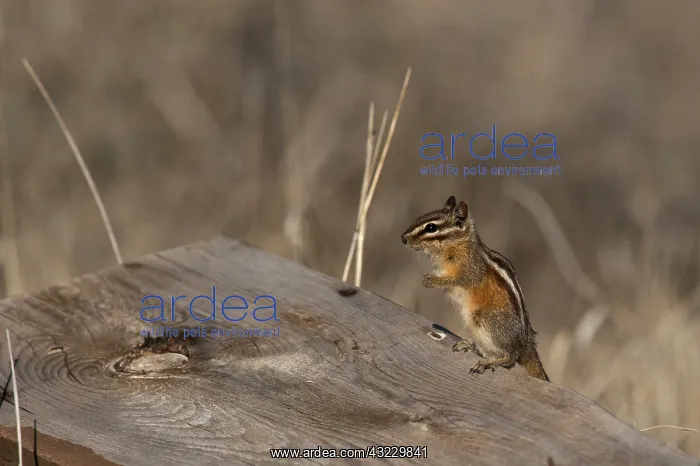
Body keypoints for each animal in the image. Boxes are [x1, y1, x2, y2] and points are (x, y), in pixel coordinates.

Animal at [401, 195, 550, 382]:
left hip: (485, 320)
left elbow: (459, 279)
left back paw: (488, 363)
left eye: (431, 227)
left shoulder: (471, 269)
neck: (458, 244)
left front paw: (431, 280)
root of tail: (527, 343)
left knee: (512, 358)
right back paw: (470, 346)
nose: (403, 238)